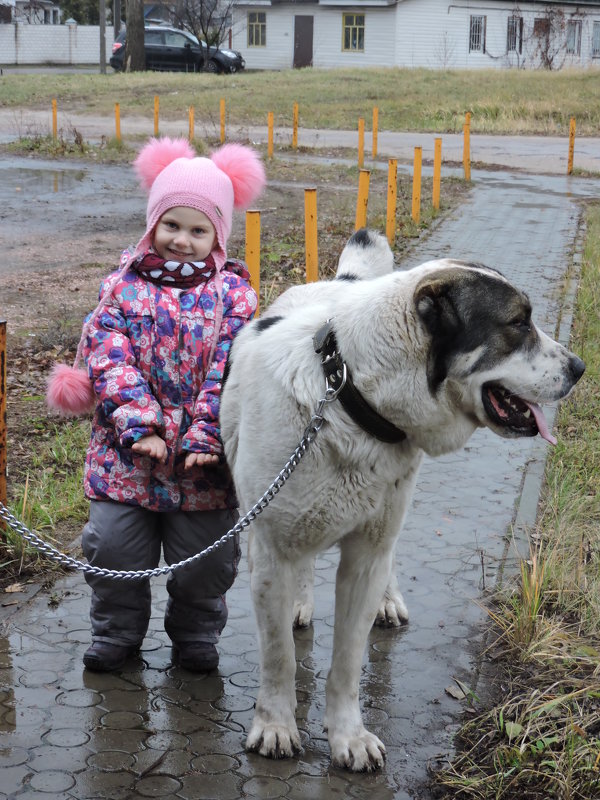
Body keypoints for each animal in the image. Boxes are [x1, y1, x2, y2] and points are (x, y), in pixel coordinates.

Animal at [218, 228, 584, 772]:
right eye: (518, 323)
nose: (580, 368)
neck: (347, 397)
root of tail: (341, 281)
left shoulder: (367, 556)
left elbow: (348, 660)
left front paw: (348, 736)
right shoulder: (267, 550)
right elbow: (279, 655)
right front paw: (276, 726)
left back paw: (386, 601)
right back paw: (300, 603)